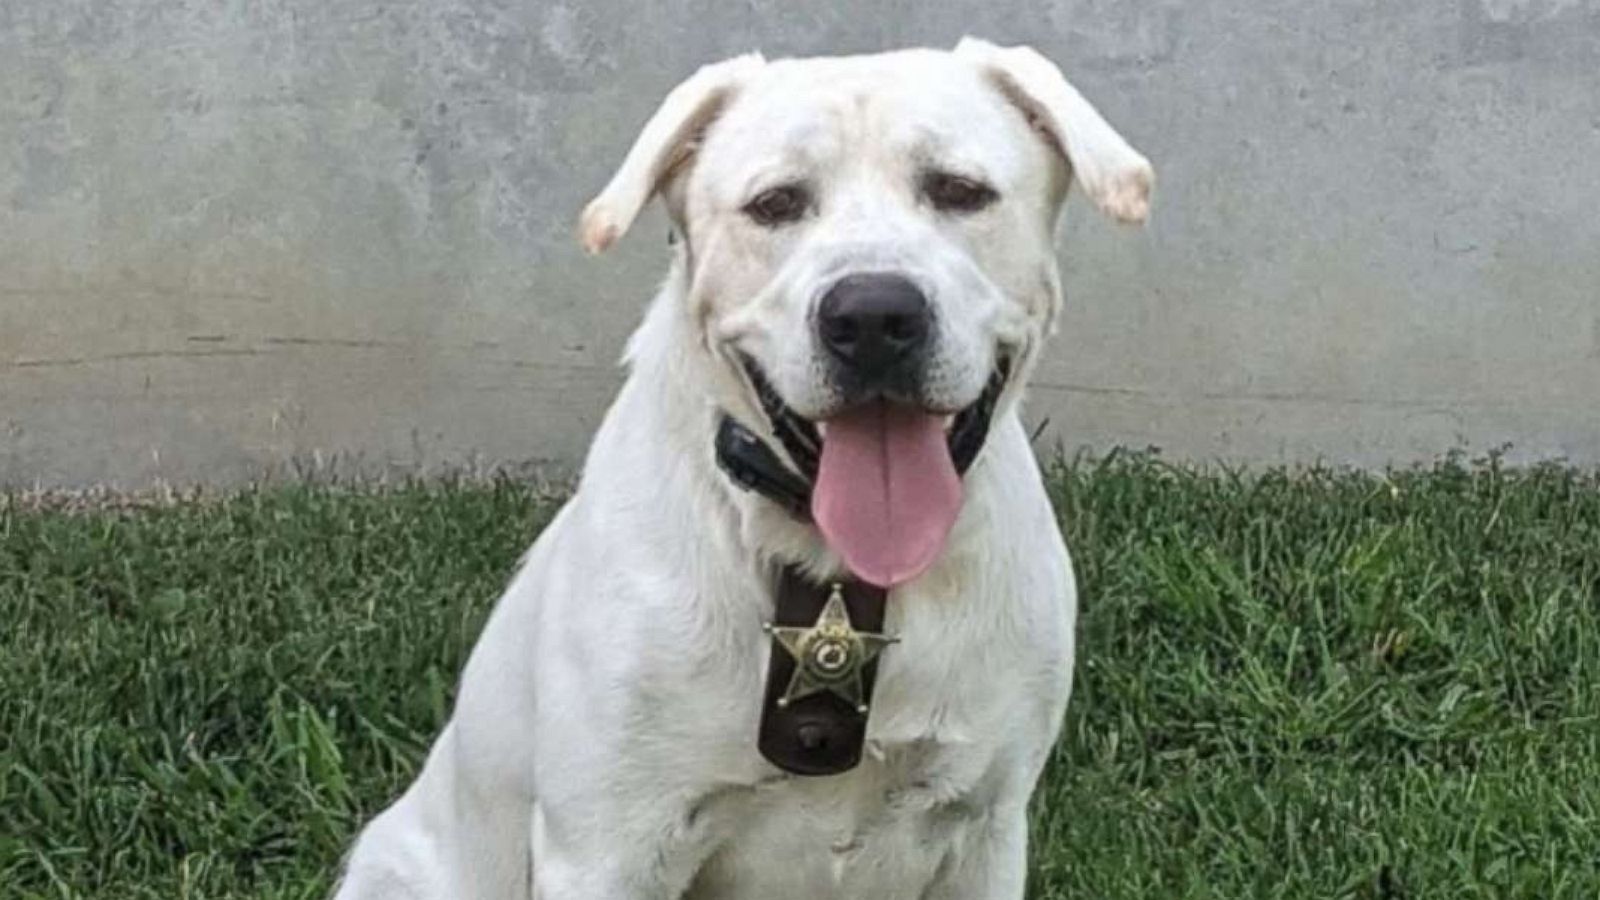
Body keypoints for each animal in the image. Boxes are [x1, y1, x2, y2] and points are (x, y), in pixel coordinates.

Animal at [334, 36, 1152, 896]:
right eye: (776, 204)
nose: (873, 316)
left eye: (960, 191)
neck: (831, 574)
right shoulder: (609, 847)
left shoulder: (984, 828)